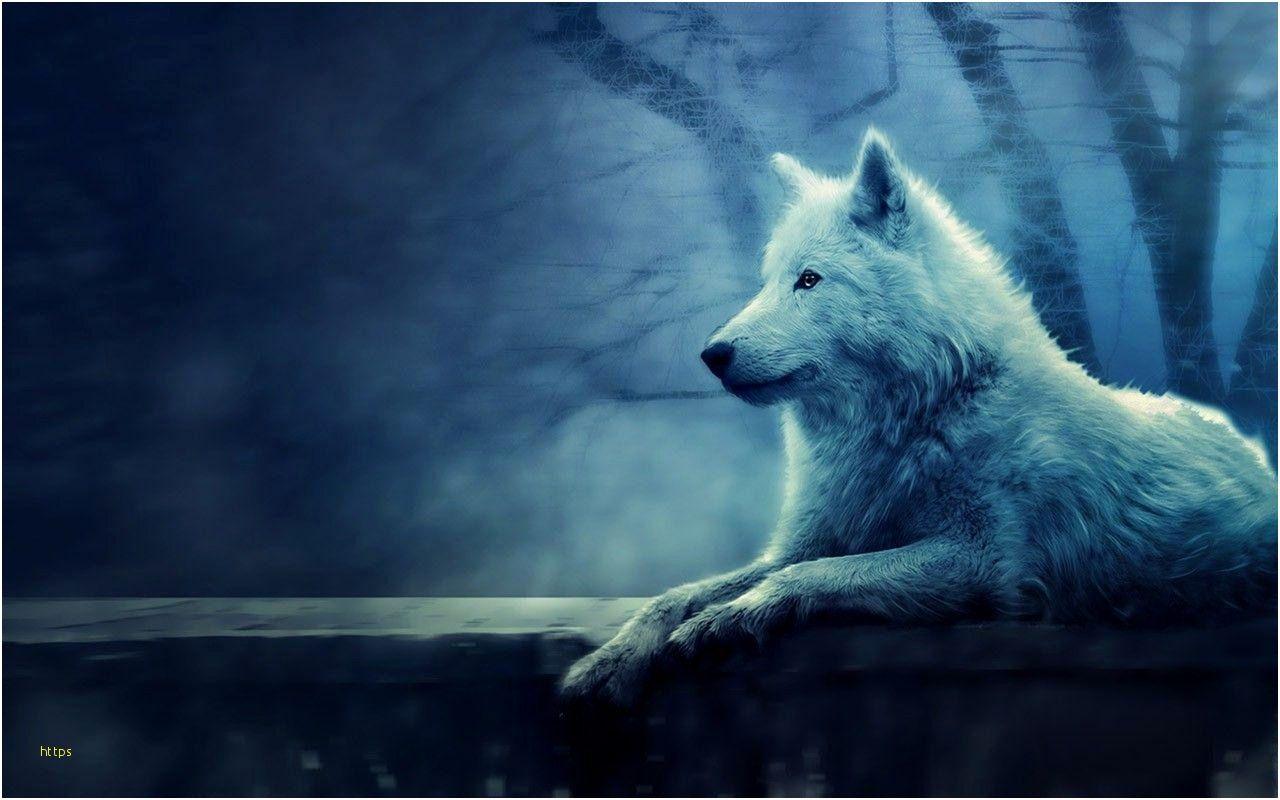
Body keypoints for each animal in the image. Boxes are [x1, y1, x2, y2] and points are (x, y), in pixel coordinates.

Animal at [560, 128, 1277, 705]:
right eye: (768, 281)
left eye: (809, 280)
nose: (713, 354)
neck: (920, 413)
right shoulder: (814, 537)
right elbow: (676, 594)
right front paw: (610, 663)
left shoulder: (986, 564)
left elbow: (810, 576)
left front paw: (729, 619)